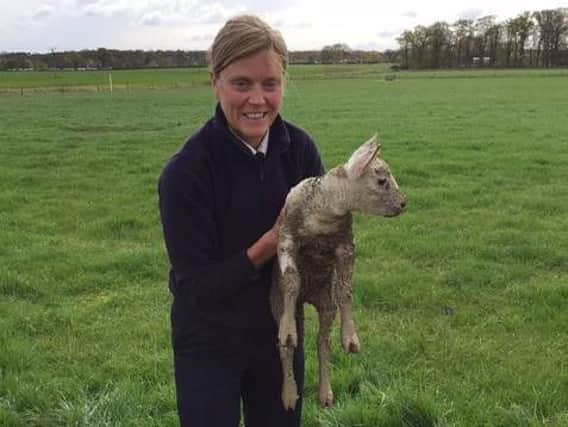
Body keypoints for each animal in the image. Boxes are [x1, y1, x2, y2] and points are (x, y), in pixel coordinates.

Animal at [270, 135, 406, 412]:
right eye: (382, 180)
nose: (403, 203)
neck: (324, 211)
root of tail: (306, 299)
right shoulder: (286, 235)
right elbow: (291, 280)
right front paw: (288, 330)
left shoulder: (345, 245)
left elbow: (345, 290)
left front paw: (350, 338)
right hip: (277, 303)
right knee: (285, 348)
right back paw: (289, 393)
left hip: (325, 304)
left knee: (322, 344)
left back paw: (325, 393)